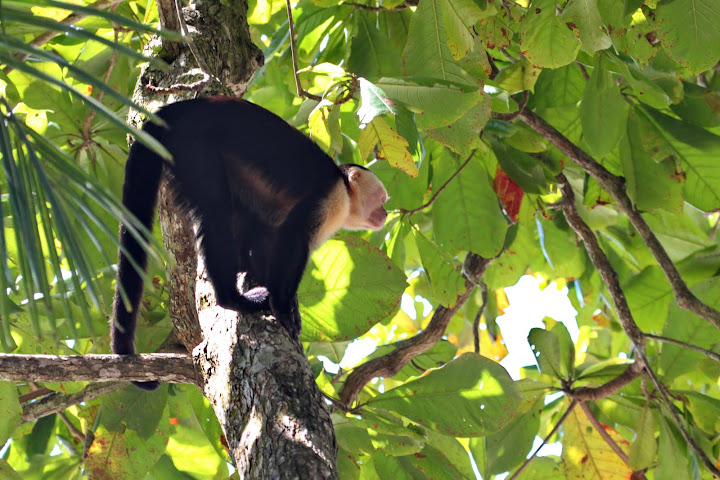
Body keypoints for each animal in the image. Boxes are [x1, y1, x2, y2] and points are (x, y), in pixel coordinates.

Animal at [112, 97, 388, 390]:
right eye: (381, 200)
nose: (385, 214)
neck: (346, 194)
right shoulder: (331, 198)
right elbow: (291, 237)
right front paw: (283, 305)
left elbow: (265, 234)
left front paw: (274, 290)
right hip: (193, 144)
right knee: (218, 210)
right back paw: (233, 299)